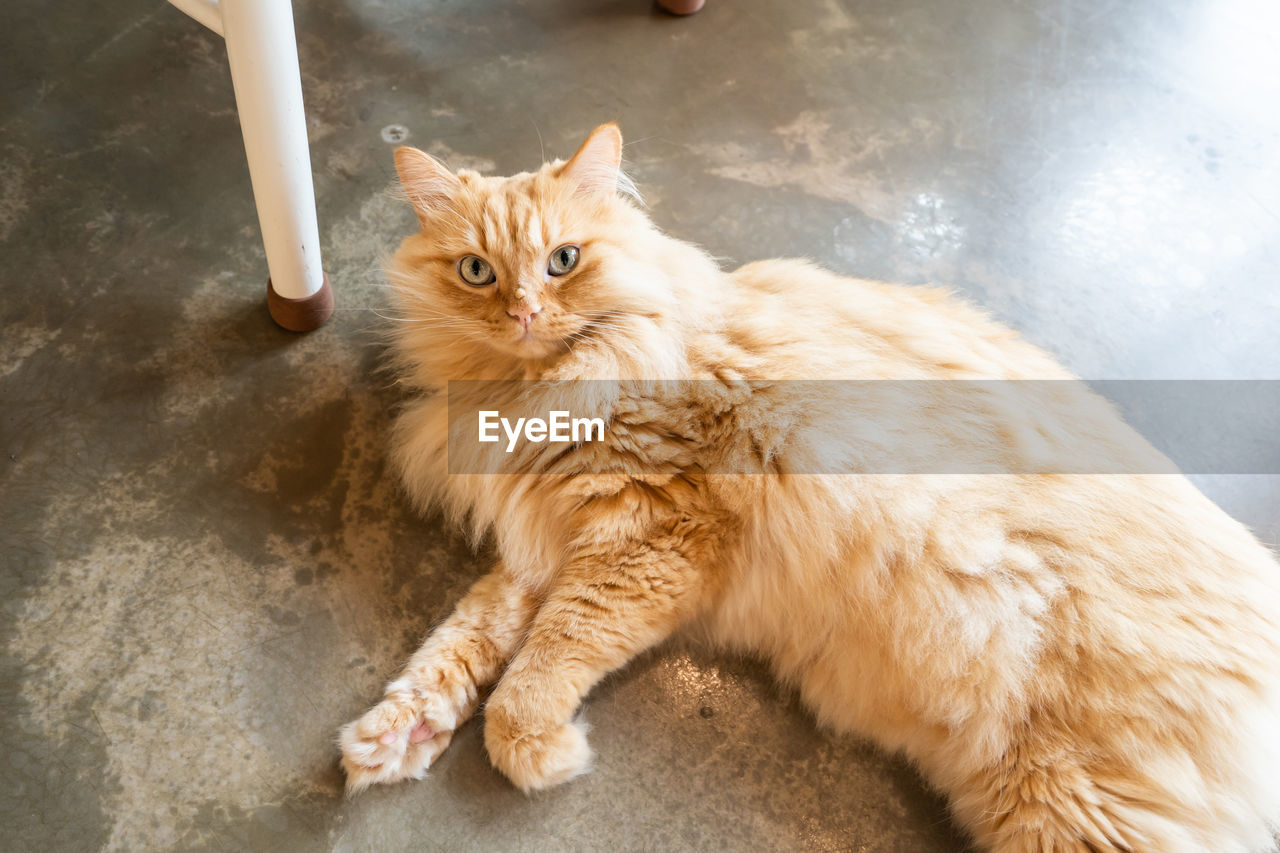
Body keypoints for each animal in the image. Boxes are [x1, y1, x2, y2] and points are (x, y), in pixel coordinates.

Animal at [340, 121, 1280, 850]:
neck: (529, 392)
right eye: (476, 272)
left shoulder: (650, 535)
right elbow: (466, 639)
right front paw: (395, 734)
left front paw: (538, 748)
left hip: (1075, 805)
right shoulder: (548, 538)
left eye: (564, 261)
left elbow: (545, 658)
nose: (526, 313)